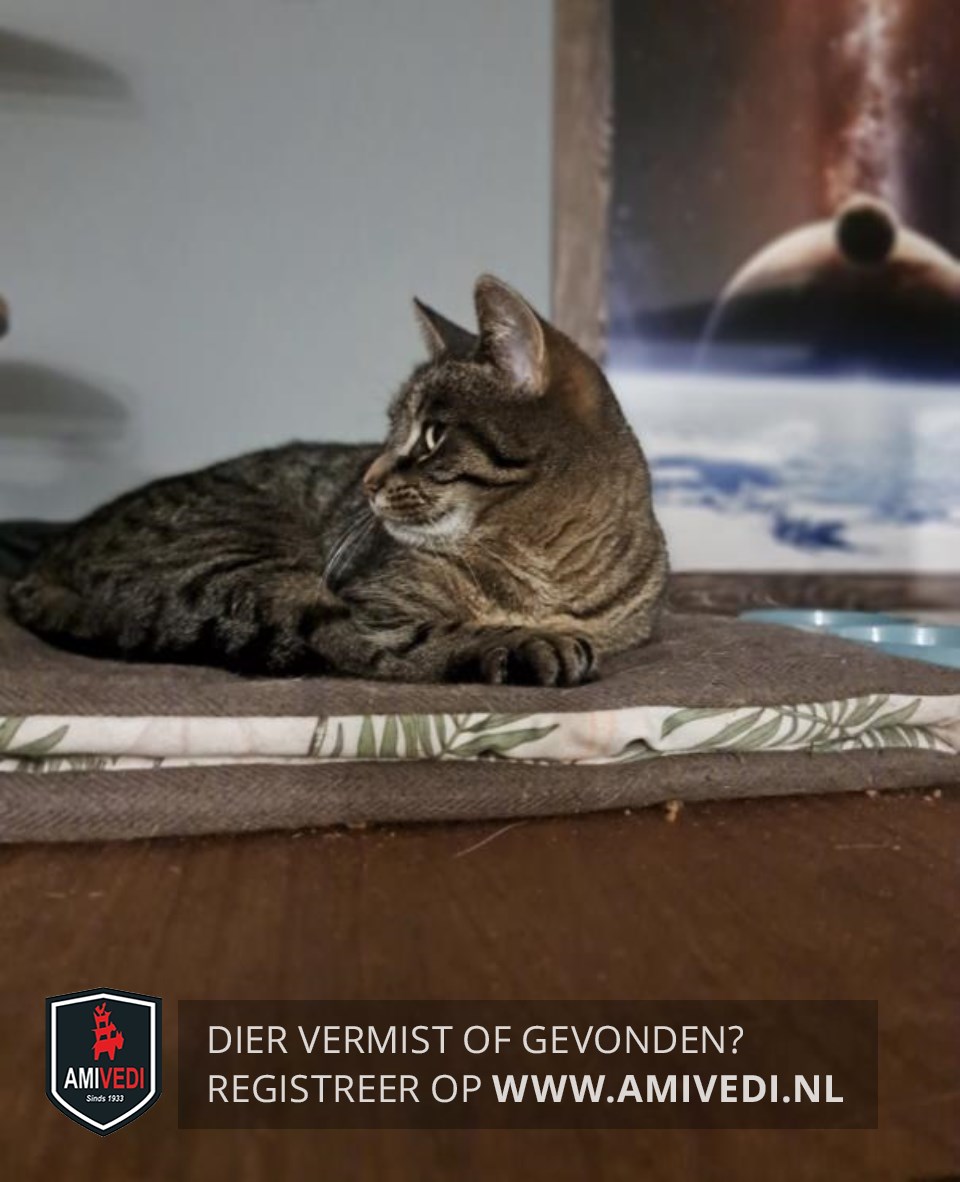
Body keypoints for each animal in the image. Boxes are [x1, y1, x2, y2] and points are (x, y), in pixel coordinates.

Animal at [8, 276, 668, 685]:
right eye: (389, 430)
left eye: (431, 436)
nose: (369, 479)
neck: (544, 576)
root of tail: (48, 555)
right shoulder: (377, 596)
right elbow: (407, 634)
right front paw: (514, 640)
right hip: (246, 561)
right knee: (353, 642)